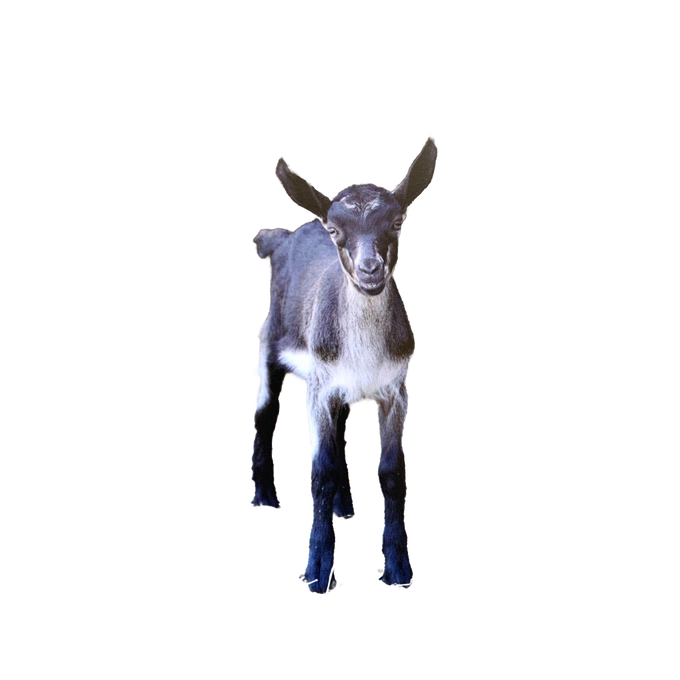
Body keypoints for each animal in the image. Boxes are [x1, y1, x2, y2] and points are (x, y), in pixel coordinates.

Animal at [248, 129, 441, 596]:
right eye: (336, 229)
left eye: (397, 223)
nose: (370, 270)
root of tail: (279, 239)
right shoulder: (319, 385)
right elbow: (319, 469)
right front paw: (317, 573)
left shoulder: (396, 389)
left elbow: (392, 473)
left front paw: (398, 571)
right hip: (272, 341)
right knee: (265, 409)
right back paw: (264, 497)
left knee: (339, 428)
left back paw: (344, 507)